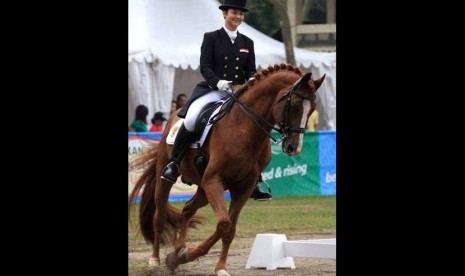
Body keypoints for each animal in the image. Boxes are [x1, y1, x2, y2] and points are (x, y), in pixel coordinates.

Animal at [127, 63, 322, 276]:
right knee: (159, 216)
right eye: (294, 105)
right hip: (168, 176)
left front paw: (213, 265)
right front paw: (189, 256)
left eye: (312, 109)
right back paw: (154, 261)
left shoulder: (243, 188)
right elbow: (223, 224)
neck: (244, 129)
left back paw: (177, 253)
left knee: (187, 209)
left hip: (203, 188)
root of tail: (173, 116)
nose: (294, 148)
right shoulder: (214, 181)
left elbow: (230, 230)